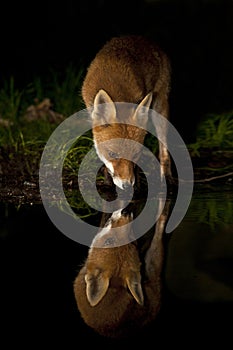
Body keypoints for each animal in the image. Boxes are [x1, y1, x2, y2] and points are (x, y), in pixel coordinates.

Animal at [81, 34, 172, 190]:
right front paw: (107, 181)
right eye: (112, 153)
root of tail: (139, 37)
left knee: (163, 149)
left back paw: (166, 177)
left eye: (136, 154)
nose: (127, 185)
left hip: (159, 107)